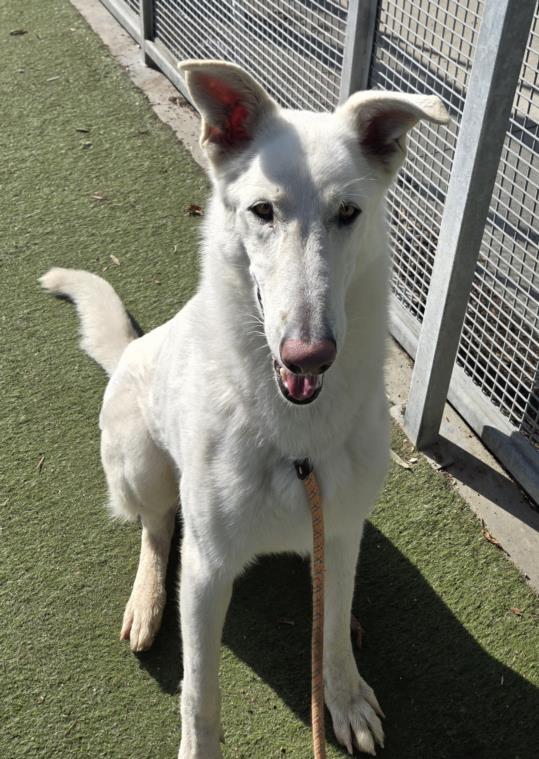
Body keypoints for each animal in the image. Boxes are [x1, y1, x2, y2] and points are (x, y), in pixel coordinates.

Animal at [41, 60, 448, 759]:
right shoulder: (206, 573)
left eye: (349, 213)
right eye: (262, 211)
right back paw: (147, 599)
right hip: (139, 461)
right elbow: (199, 692)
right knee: (157, 526)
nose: (310, 355)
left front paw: (343, 695)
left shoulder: (342, 530)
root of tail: (127, 354)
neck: (296, 438)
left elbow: (330, 630)